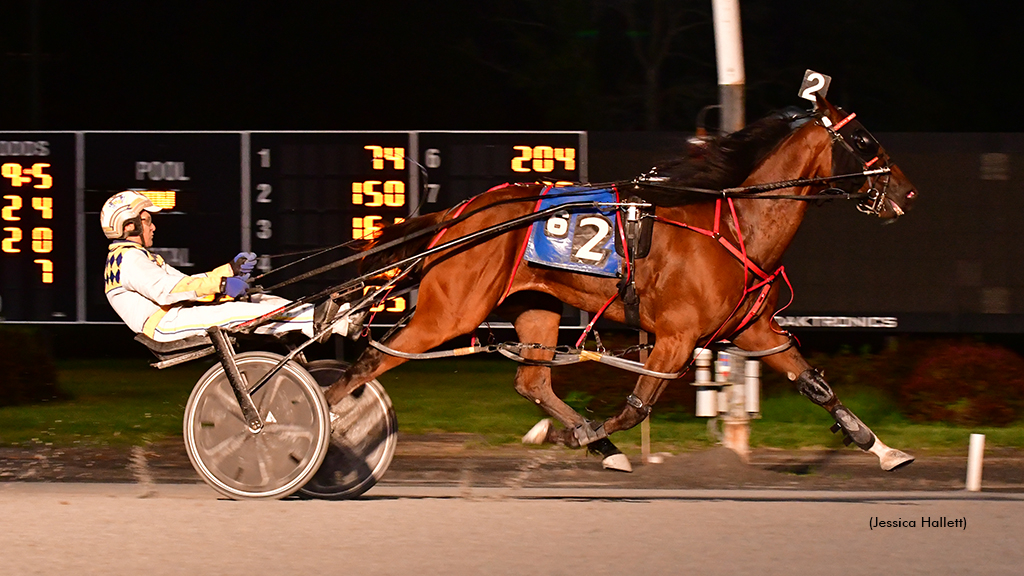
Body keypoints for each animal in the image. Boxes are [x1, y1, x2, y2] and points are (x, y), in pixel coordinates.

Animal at [325, 94, 921, 471]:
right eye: (863, 137)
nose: (907, 192)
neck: (737, 227)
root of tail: (459, 213)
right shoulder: (676, 336)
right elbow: (638, 405)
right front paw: (592, 432)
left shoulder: (751, 329)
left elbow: (814, 384)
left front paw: (882, 448)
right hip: (449, 312)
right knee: (368, 363)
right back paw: (327, 426)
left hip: (536, 306)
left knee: (532, 382)